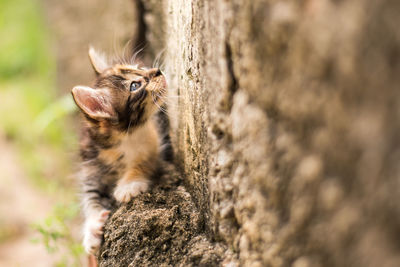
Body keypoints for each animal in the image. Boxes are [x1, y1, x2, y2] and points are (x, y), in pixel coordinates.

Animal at [71, 47, 166, 255]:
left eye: (139, 67)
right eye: (135, 85)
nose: (157, 71)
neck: (121, 142)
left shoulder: (154, 144)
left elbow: (143, 162)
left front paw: (128, 185)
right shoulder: (90, 166)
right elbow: (89, 196)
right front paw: (92, 228)